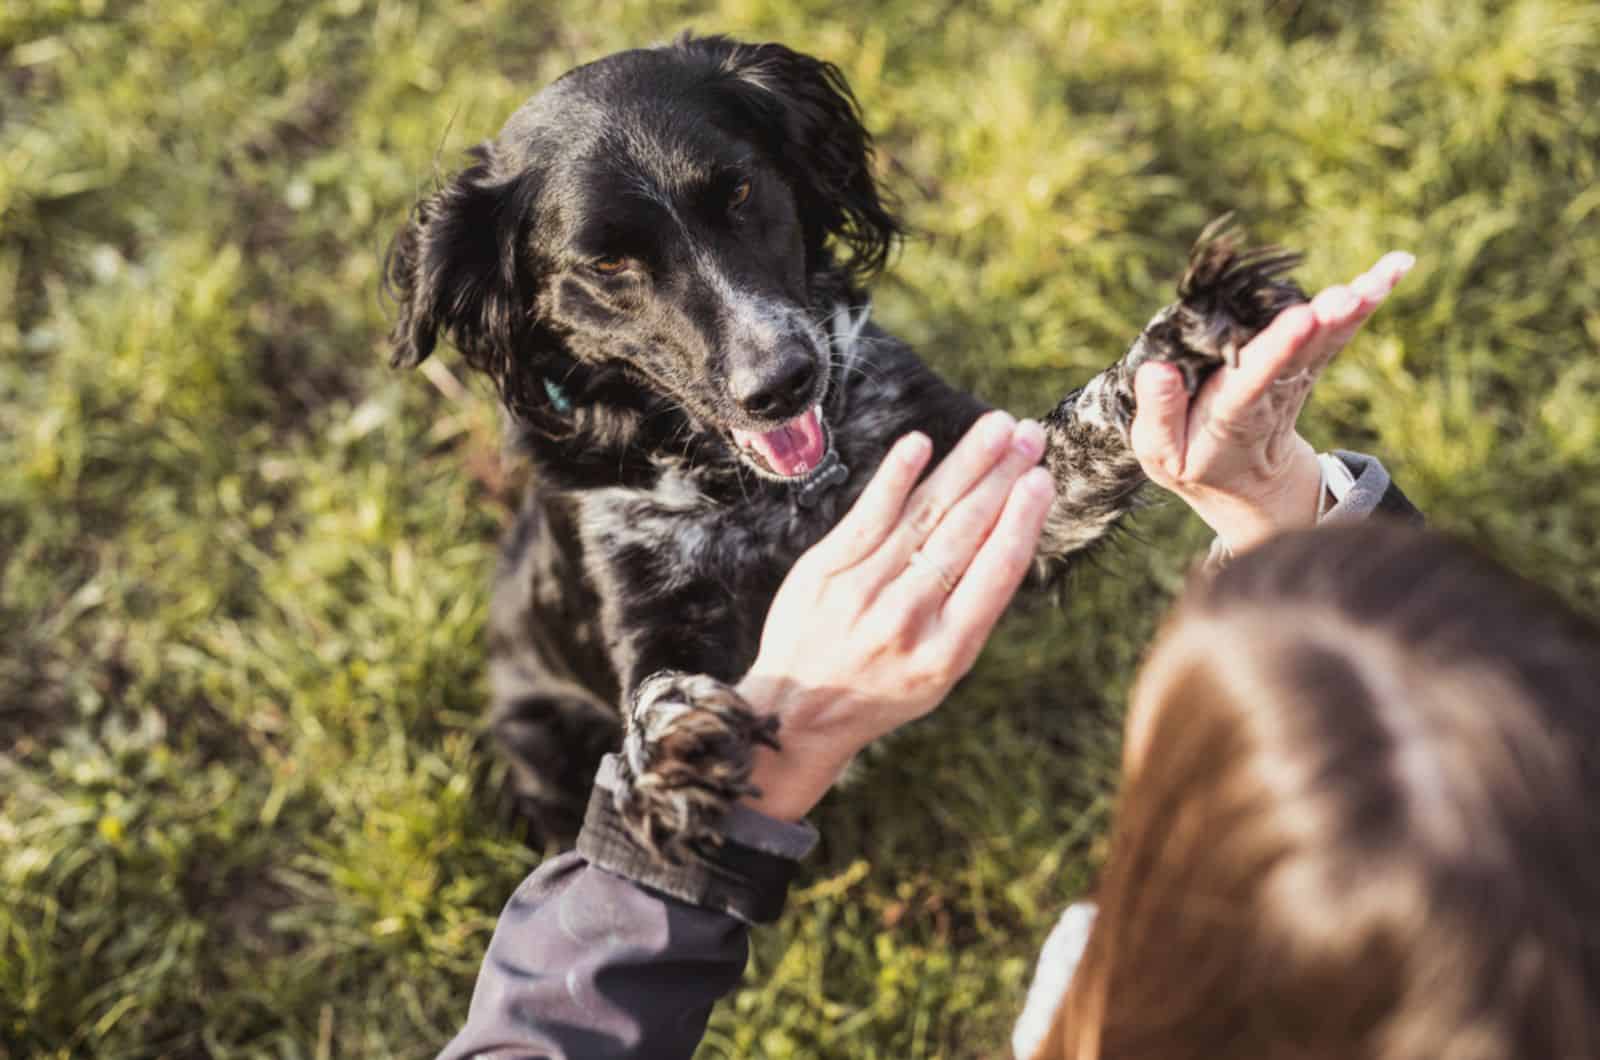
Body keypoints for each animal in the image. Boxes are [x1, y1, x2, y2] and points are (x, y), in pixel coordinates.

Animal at [384, 33, 1299, 858]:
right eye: (607, 263)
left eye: (740, 190)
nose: (783, 380)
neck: (774, 497)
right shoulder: (643, 595)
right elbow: (656, 687)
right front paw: (675, 750)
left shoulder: (997, 481)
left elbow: (1094, 420)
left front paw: (1189, 335)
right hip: (536, 734)